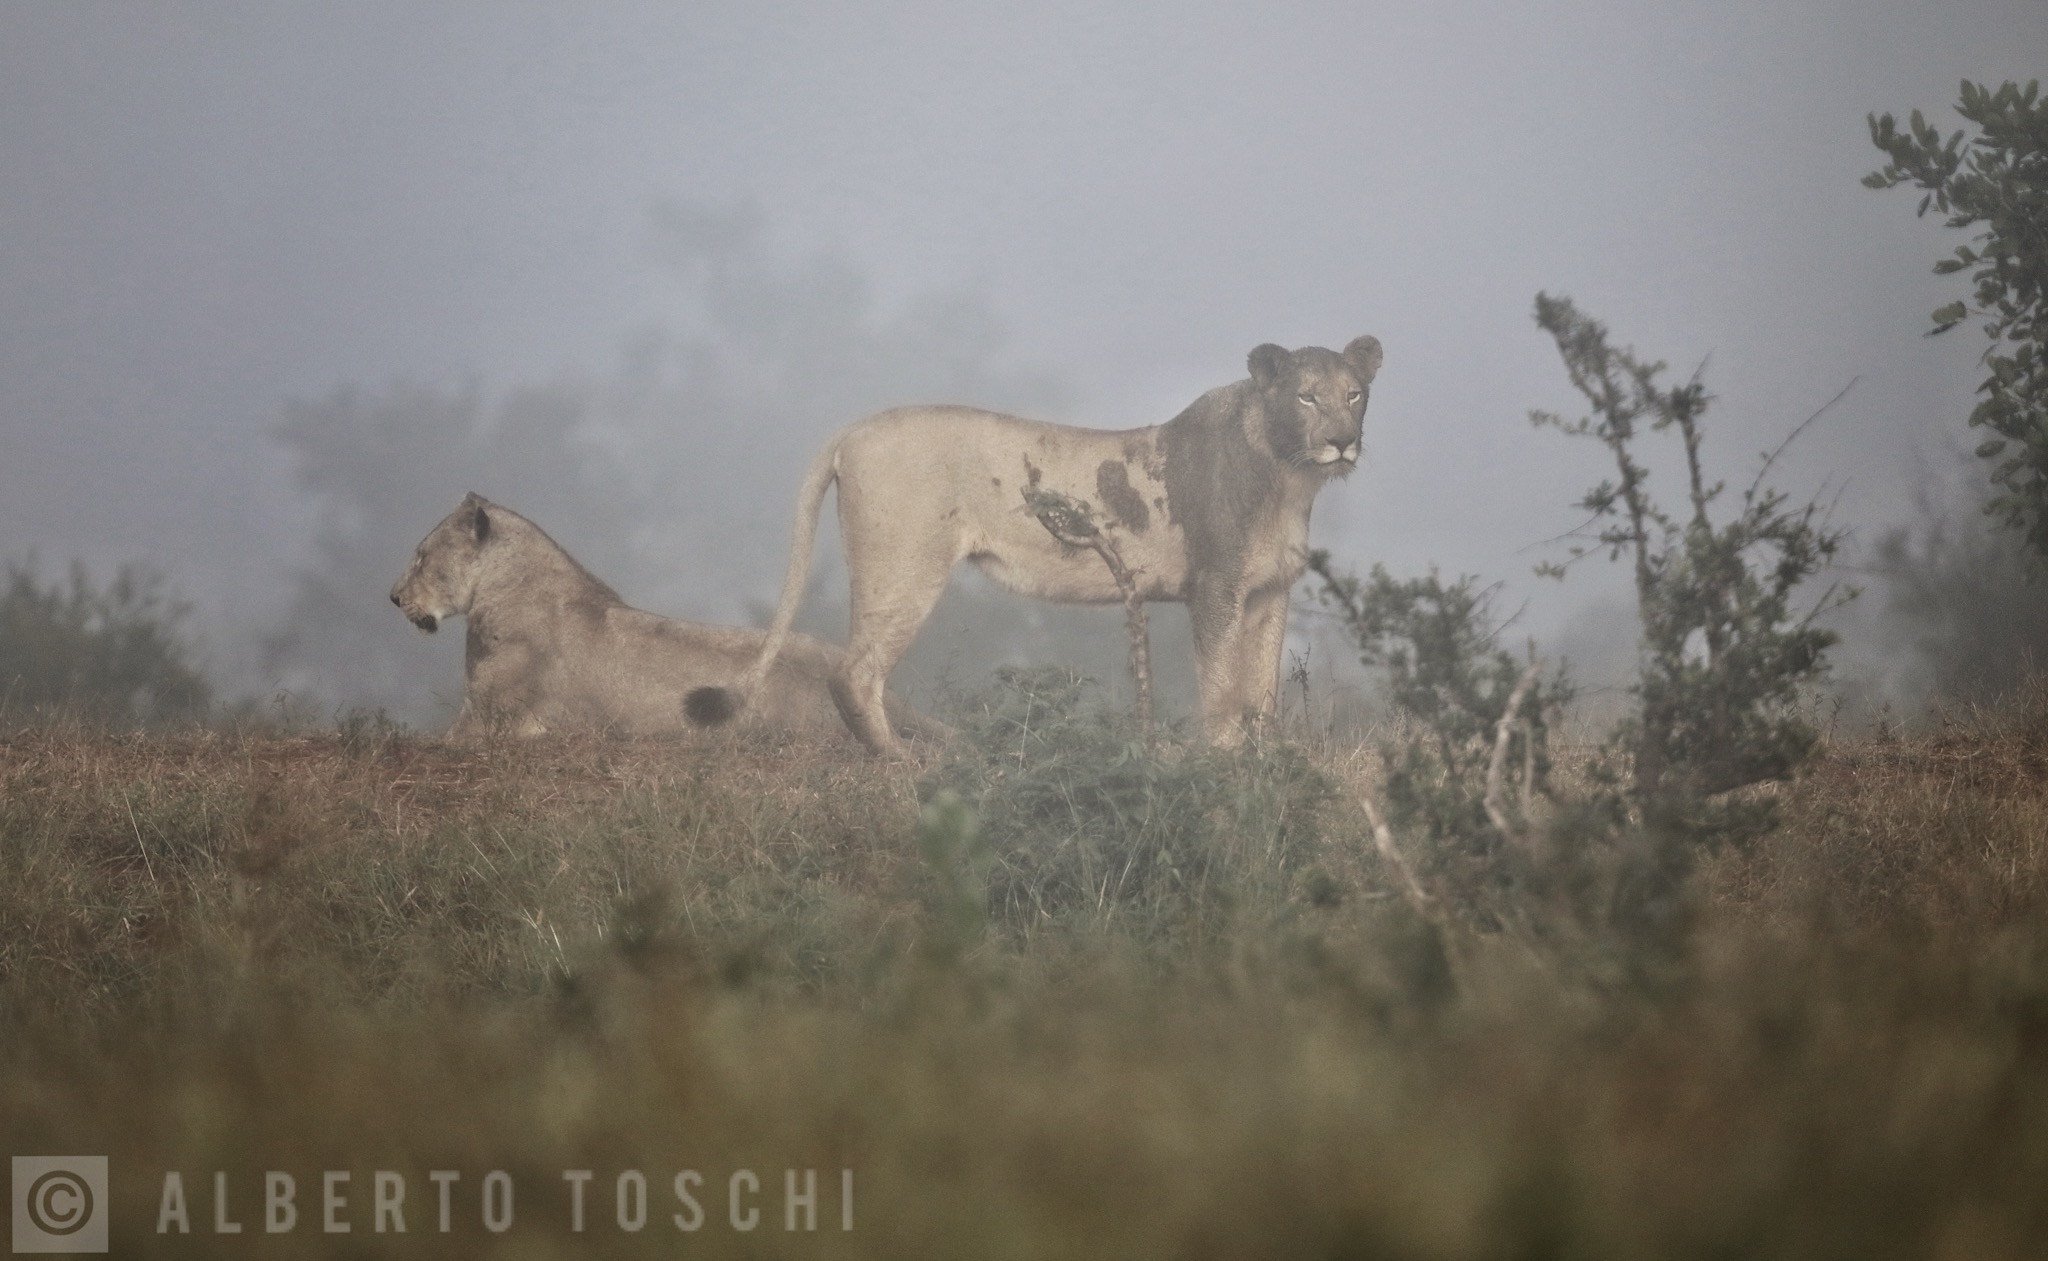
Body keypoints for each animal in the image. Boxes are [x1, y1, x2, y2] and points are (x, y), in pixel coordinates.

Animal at [687, 335, 1383, 754]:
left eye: (1354, 394)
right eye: (1306, 396)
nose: (1343, 441)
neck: (1291, 477)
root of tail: (852, 429)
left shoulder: (1269, 592)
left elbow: (1261, 689)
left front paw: (1265, 760)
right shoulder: (1215, 589)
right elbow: (1222, 686)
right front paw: (1223, 760)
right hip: (904, 566)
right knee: (853, 672)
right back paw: (903, 762)